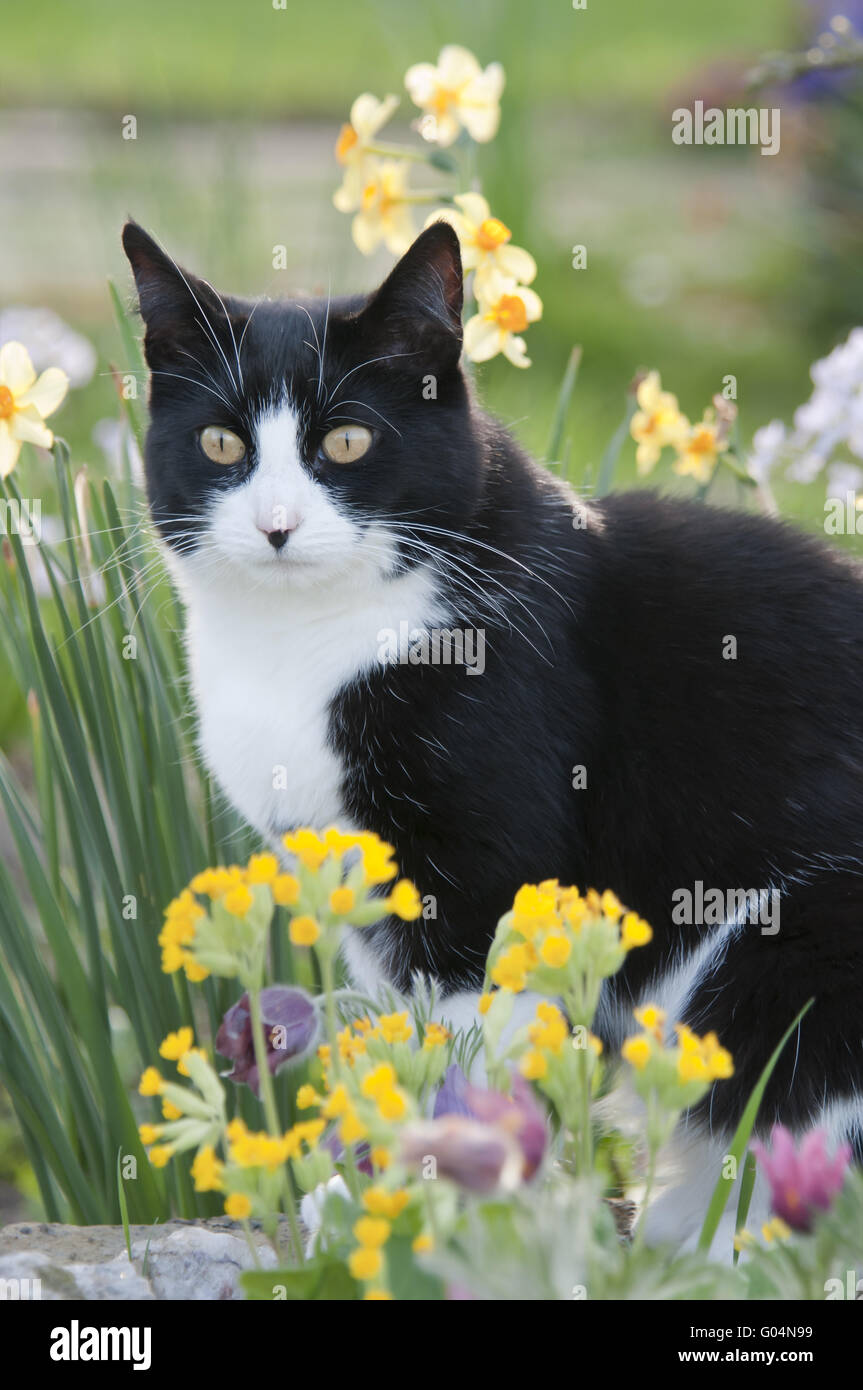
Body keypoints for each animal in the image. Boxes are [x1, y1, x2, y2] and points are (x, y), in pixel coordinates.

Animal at [120, 216, 861, 1251]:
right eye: (220, 441)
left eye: (347, 440)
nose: (275, 525)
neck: (306, 644)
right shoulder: (358, 886)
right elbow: (401, 1036)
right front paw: (369, 1199)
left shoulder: (489, 872)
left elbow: (471, 1045)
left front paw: (448, 1202)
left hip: (783, 946)